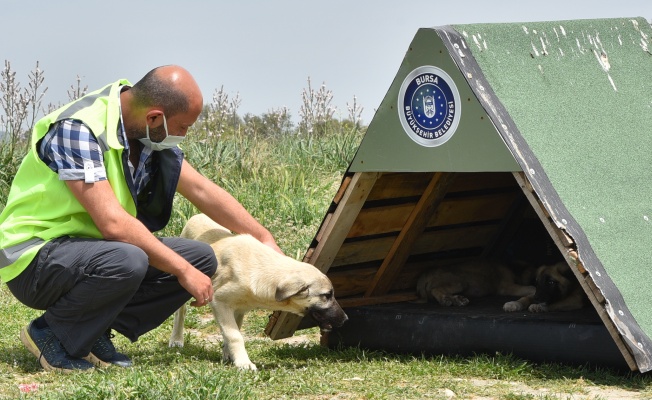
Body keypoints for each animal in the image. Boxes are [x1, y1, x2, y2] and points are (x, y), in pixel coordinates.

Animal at [171, 214, 348, 370]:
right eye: (326, 295)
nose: (346, 319)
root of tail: (197, 216)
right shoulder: (219, 301)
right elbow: (235, 335)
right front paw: (243, 363)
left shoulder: (238, 309)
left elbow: (233, 332)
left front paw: (230, 356)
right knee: (181, 312)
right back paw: (176, 339)